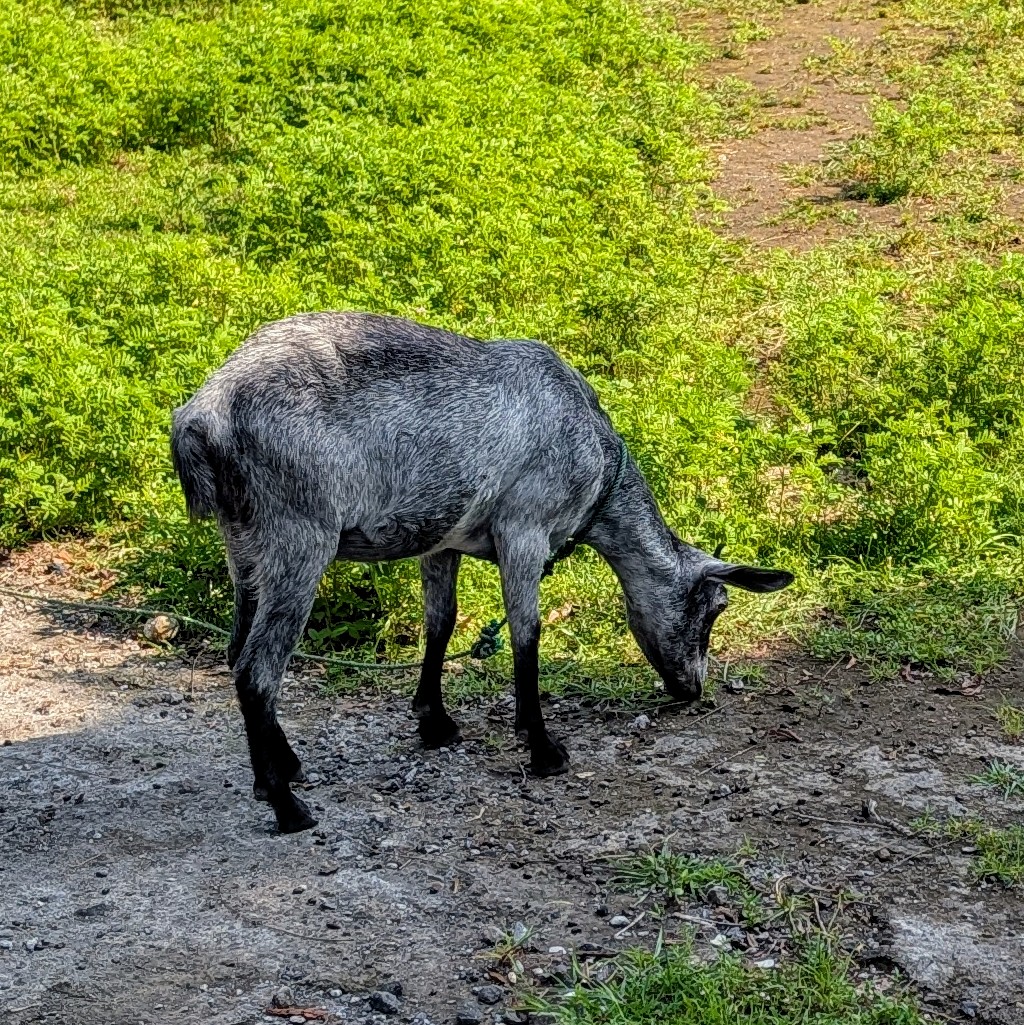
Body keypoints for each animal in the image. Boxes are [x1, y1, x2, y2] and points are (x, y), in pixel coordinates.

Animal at [170, 312, 793, 832]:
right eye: (714, 609)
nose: (692, 688)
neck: (595, 464)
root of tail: (200, 418)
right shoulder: (524, 528)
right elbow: (526, 633)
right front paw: (542, 747)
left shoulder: (440, 538)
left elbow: (441, 623)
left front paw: (434, 722)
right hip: (299, 536)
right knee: (257, 670)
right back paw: (287, 805)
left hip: (245, 545)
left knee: (236, 652)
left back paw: (279, 769)